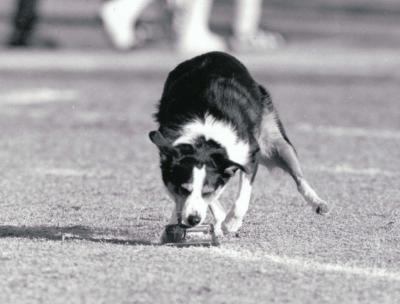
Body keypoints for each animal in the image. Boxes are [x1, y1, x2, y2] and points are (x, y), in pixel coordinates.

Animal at [148, 51, 326, 238]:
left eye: (206, 191)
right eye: (183, 189)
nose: (193, 220)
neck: (204, 137)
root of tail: (211, 53)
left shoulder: (249, 155)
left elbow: (242, 198)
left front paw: (231, 223)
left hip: (274, 145)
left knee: (299, 177)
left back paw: (318, 202)